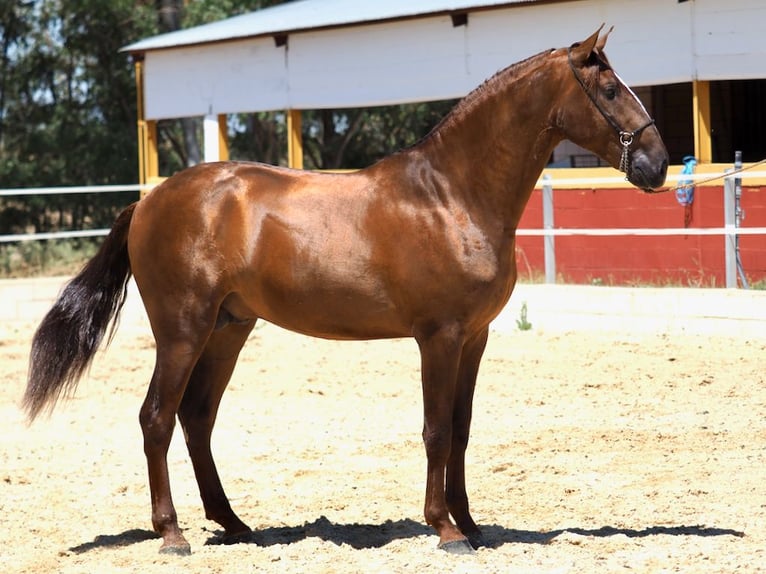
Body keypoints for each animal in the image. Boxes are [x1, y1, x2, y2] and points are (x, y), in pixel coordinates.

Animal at [25, 28, 664, 560]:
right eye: (610, 89)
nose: (656, 165)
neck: (451, 195)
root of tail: (148, 202)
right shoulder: (439, 337)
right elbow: (436, 429)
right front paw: (445, 530)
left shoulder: (474, 338)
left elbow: (460, 429)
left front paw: (471, 524)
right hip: (182, 330)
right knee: (156, 418)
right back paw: (173, 534)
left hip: (228, 329)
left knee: (196, 418)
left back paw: (234, 525)